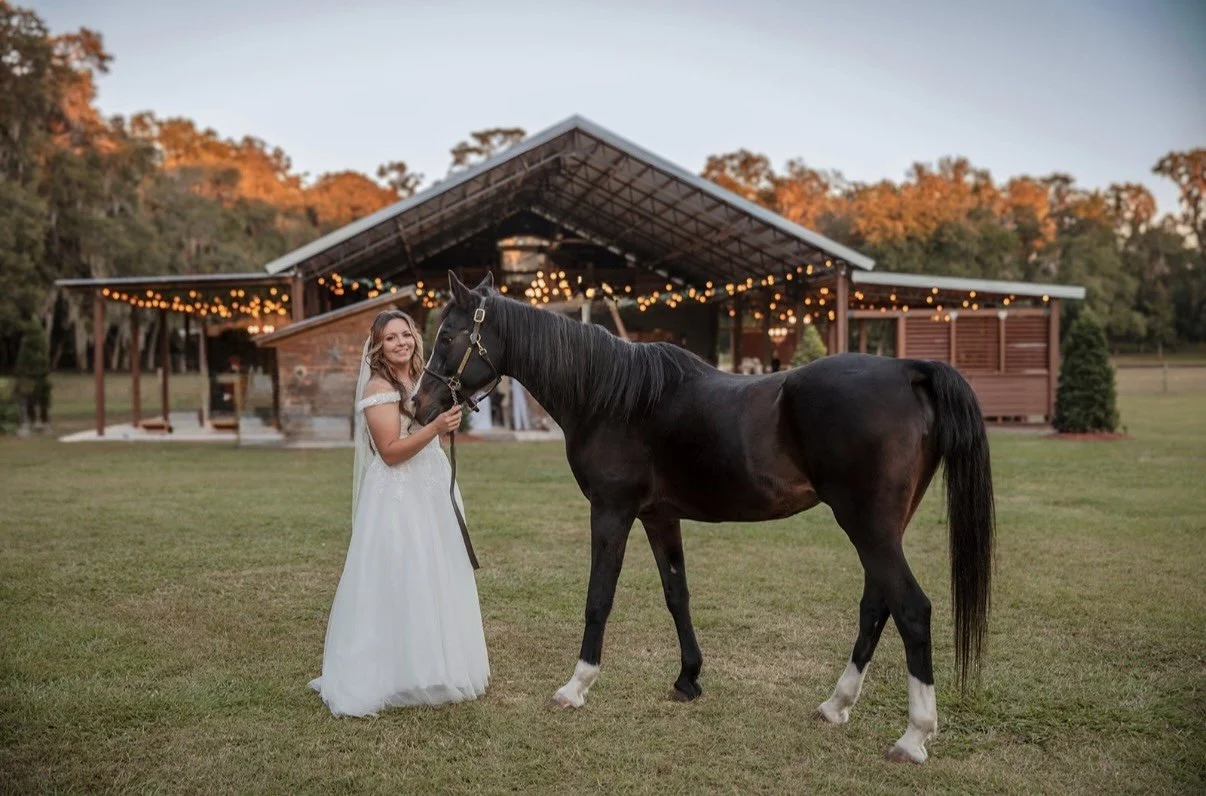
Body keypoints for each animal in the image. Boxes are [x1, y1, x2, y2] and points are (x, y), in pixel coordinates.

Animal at [413, 271, 995, 764]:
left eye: (447, 336)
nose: (419, 404)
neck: (611, 397)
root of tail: (907, 369)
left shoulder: (612, 511)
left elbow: (599, 597)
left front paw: (576, 686)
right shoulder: (657, 518)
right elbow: (678, 594)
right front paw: (688, 678)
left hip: (867, 526)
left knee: (912, 610)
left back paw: (913, 736)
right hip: (881, 528)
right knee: (877, 606)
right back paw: (836, 705)